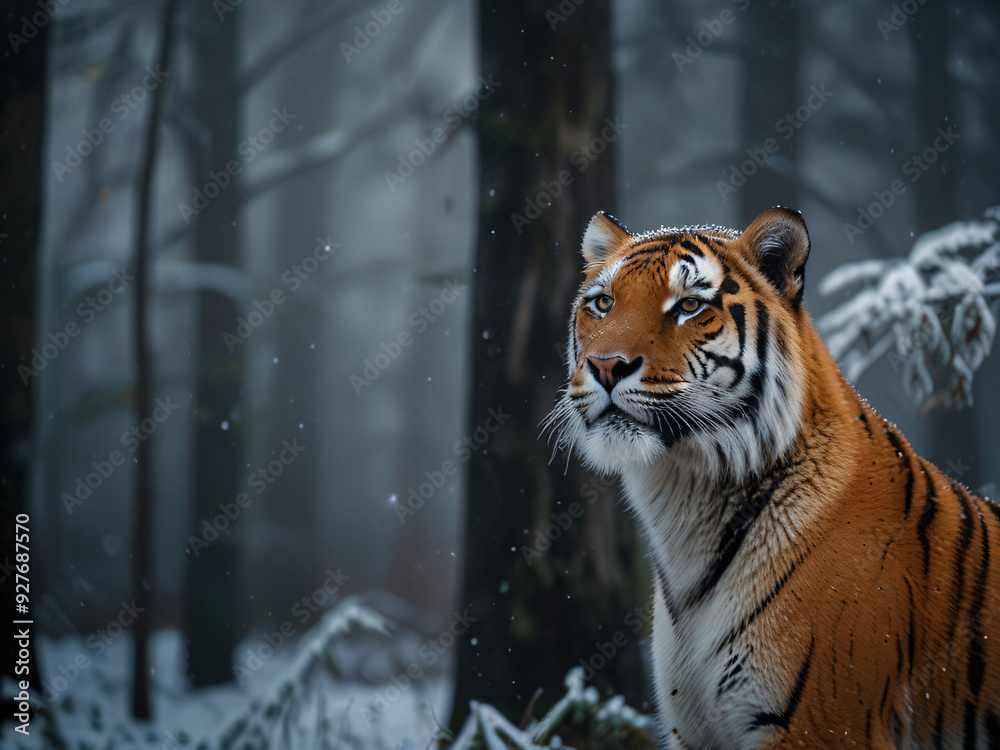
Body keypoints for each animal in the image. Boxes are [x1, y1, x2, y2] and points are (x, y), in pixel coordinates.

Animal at [544, 207, 1000, 749]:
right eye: (603, 302)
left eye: (690, 305)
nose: (605, 365)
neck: (685, 496)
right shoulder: (694, 727)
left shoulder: (820, 725)